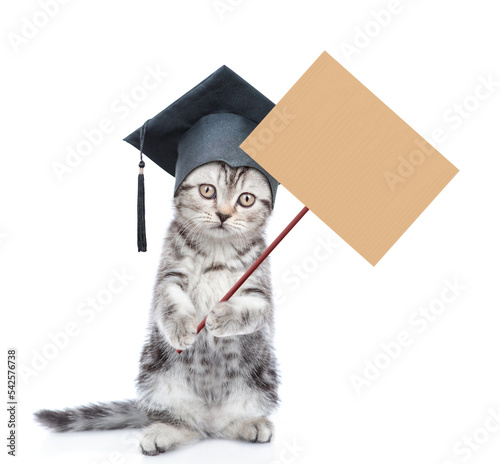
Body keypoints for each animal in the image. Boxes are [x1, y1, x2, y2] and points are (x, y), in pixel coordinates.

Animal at [33, 161, 280, 454]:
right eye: (208, 190)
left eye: (246, 199)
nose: (223, 215)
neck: (216, 251)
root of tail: (209, 419)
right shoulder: (169, 276)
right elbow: (168, 302)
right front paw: (183, 328)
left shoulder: (260, 290)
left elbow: (253, 310)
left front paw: (222, 315)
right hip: (154, 374)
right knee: (182, 423)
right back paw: (162, 432)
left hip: (262, 379)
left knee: (227, 424)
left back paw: (250, 423)